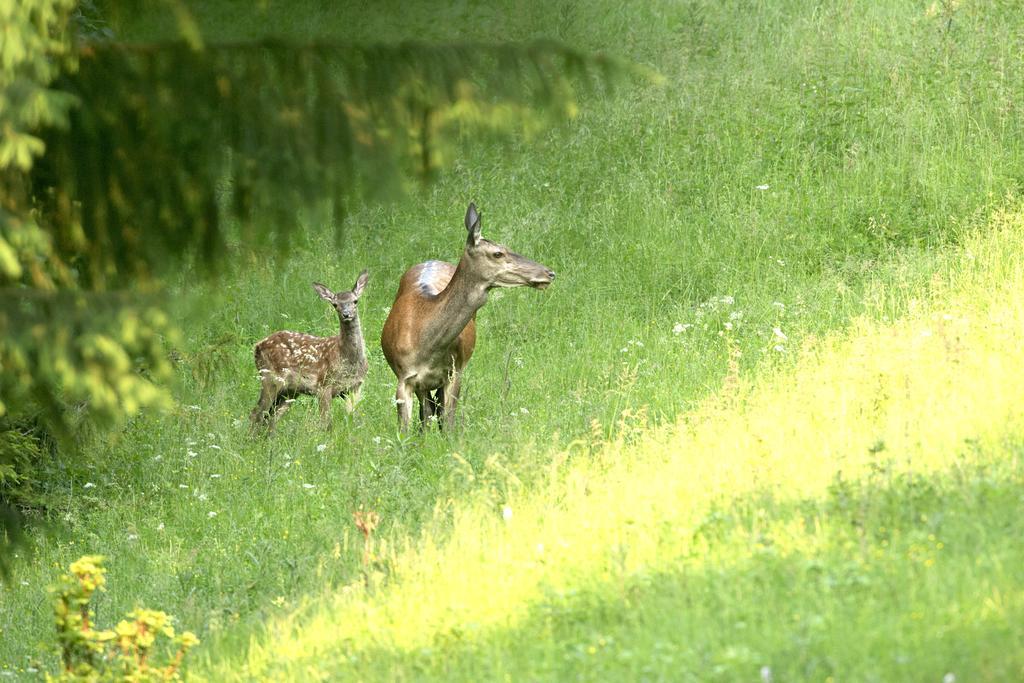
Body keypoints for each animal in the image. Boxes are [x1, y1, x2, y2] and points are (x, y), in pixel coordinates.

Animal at [250, 270, 370, 430]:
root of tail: (257, 346)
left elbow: (353, 419)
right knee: (256, 413)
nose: (346, 314)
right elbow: (326, 423)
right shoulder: (324, 385)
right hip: (270, 378)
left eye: (355, 301)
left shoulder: (355, 386)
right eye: (335, 304)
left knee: (271, 417)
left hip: (289, 391)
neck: (348, 359)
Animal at [380, 201, 557, 432]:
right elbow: (406, 428)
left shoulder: (455, 372)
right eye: (498, 253)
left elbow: (447, 423)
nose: (549, 273)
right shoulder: (403, 377)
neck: (426, 345)